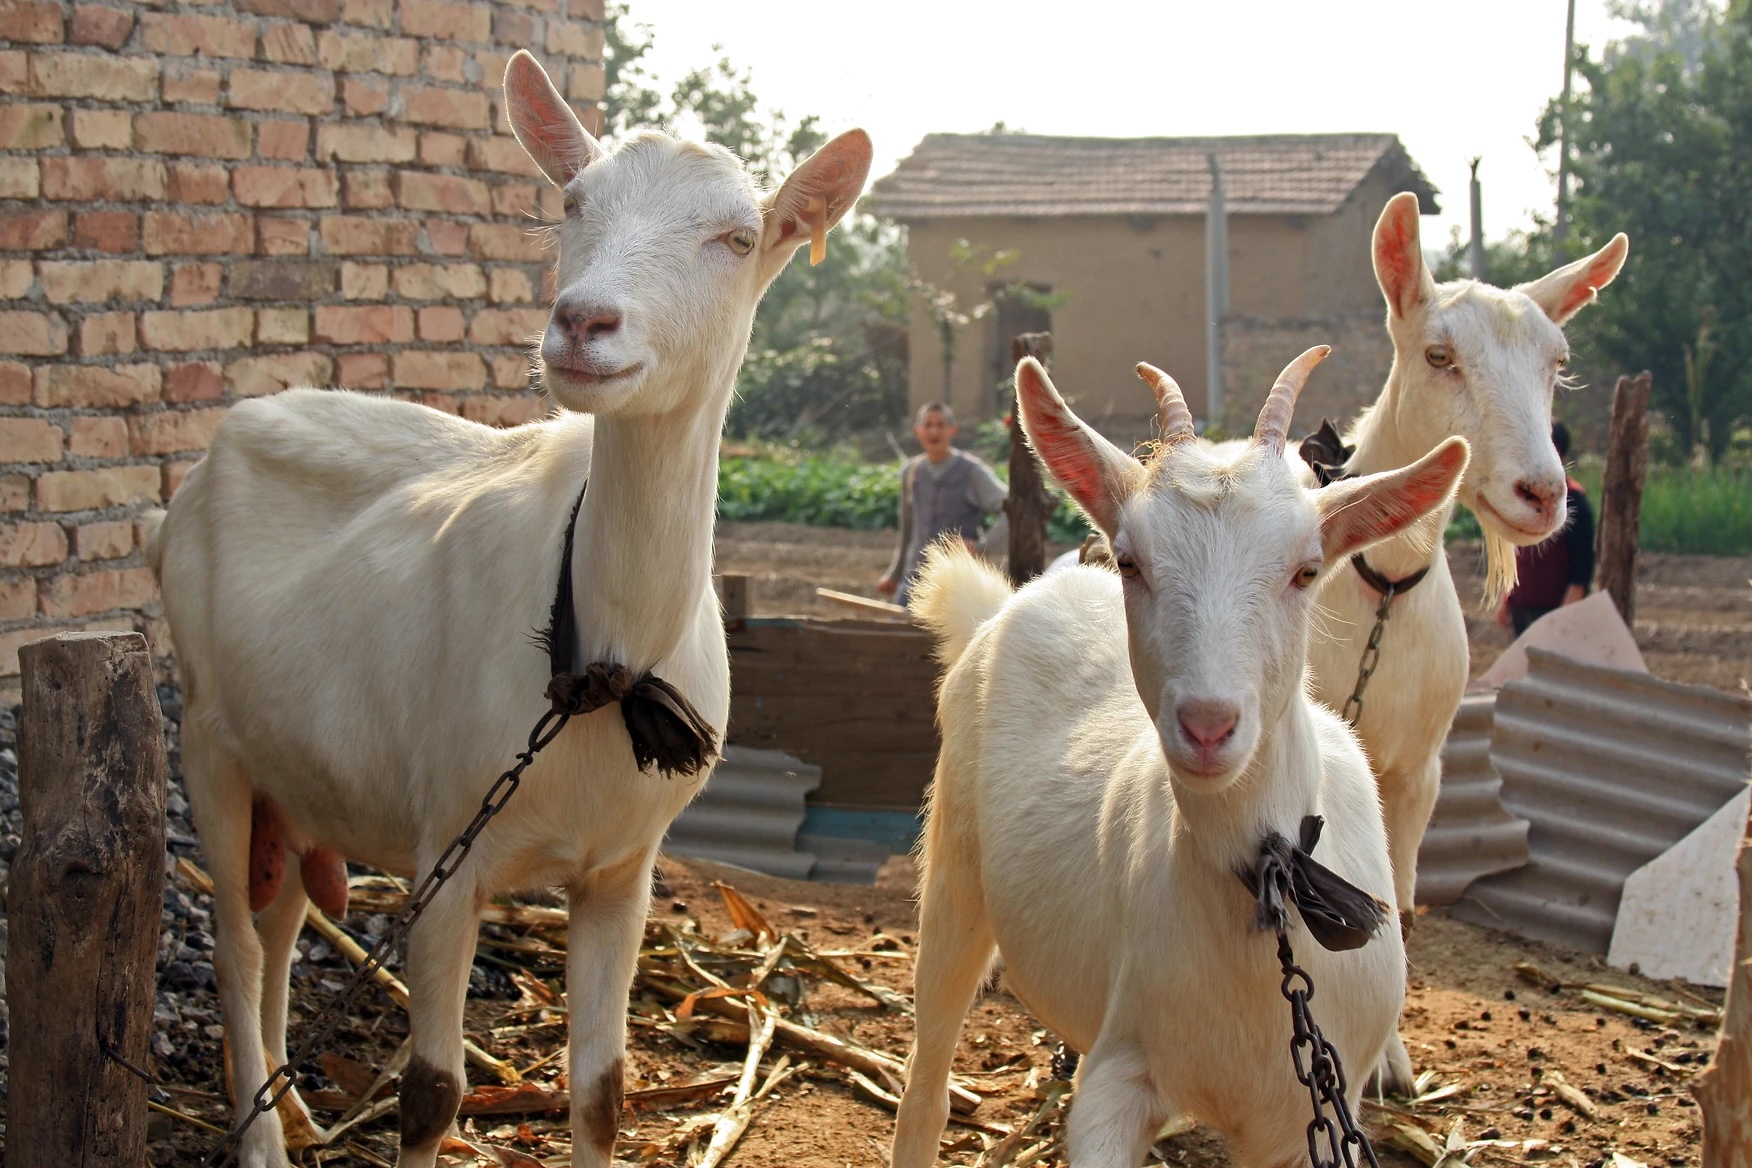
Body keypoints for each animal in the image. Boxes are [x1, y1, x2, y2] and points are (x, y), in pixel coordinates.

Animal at [148, 50, 870, 1168]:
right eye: (572, 202)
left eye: (739, 237)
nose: (583, 322)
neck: (602, 657)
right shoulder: (449, 849)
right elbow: (432, 1094)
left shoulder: (625, 869)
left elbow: (603, 1091)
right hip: (210, 737)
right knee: (232, 934)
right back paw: (258, 1134)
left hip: (296, 768)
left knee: (278, 920)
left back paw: (294, 1107)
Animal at [891, 347, 1469, 1168]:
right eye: (1133, 561)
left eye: (1306, 569)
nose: (1206, 725)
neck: (1267, 886)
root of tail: (1011, 600)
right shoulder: (1124, 1073)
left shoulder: (1301, 1118)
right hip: (954, 863)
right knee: (929, 1068)